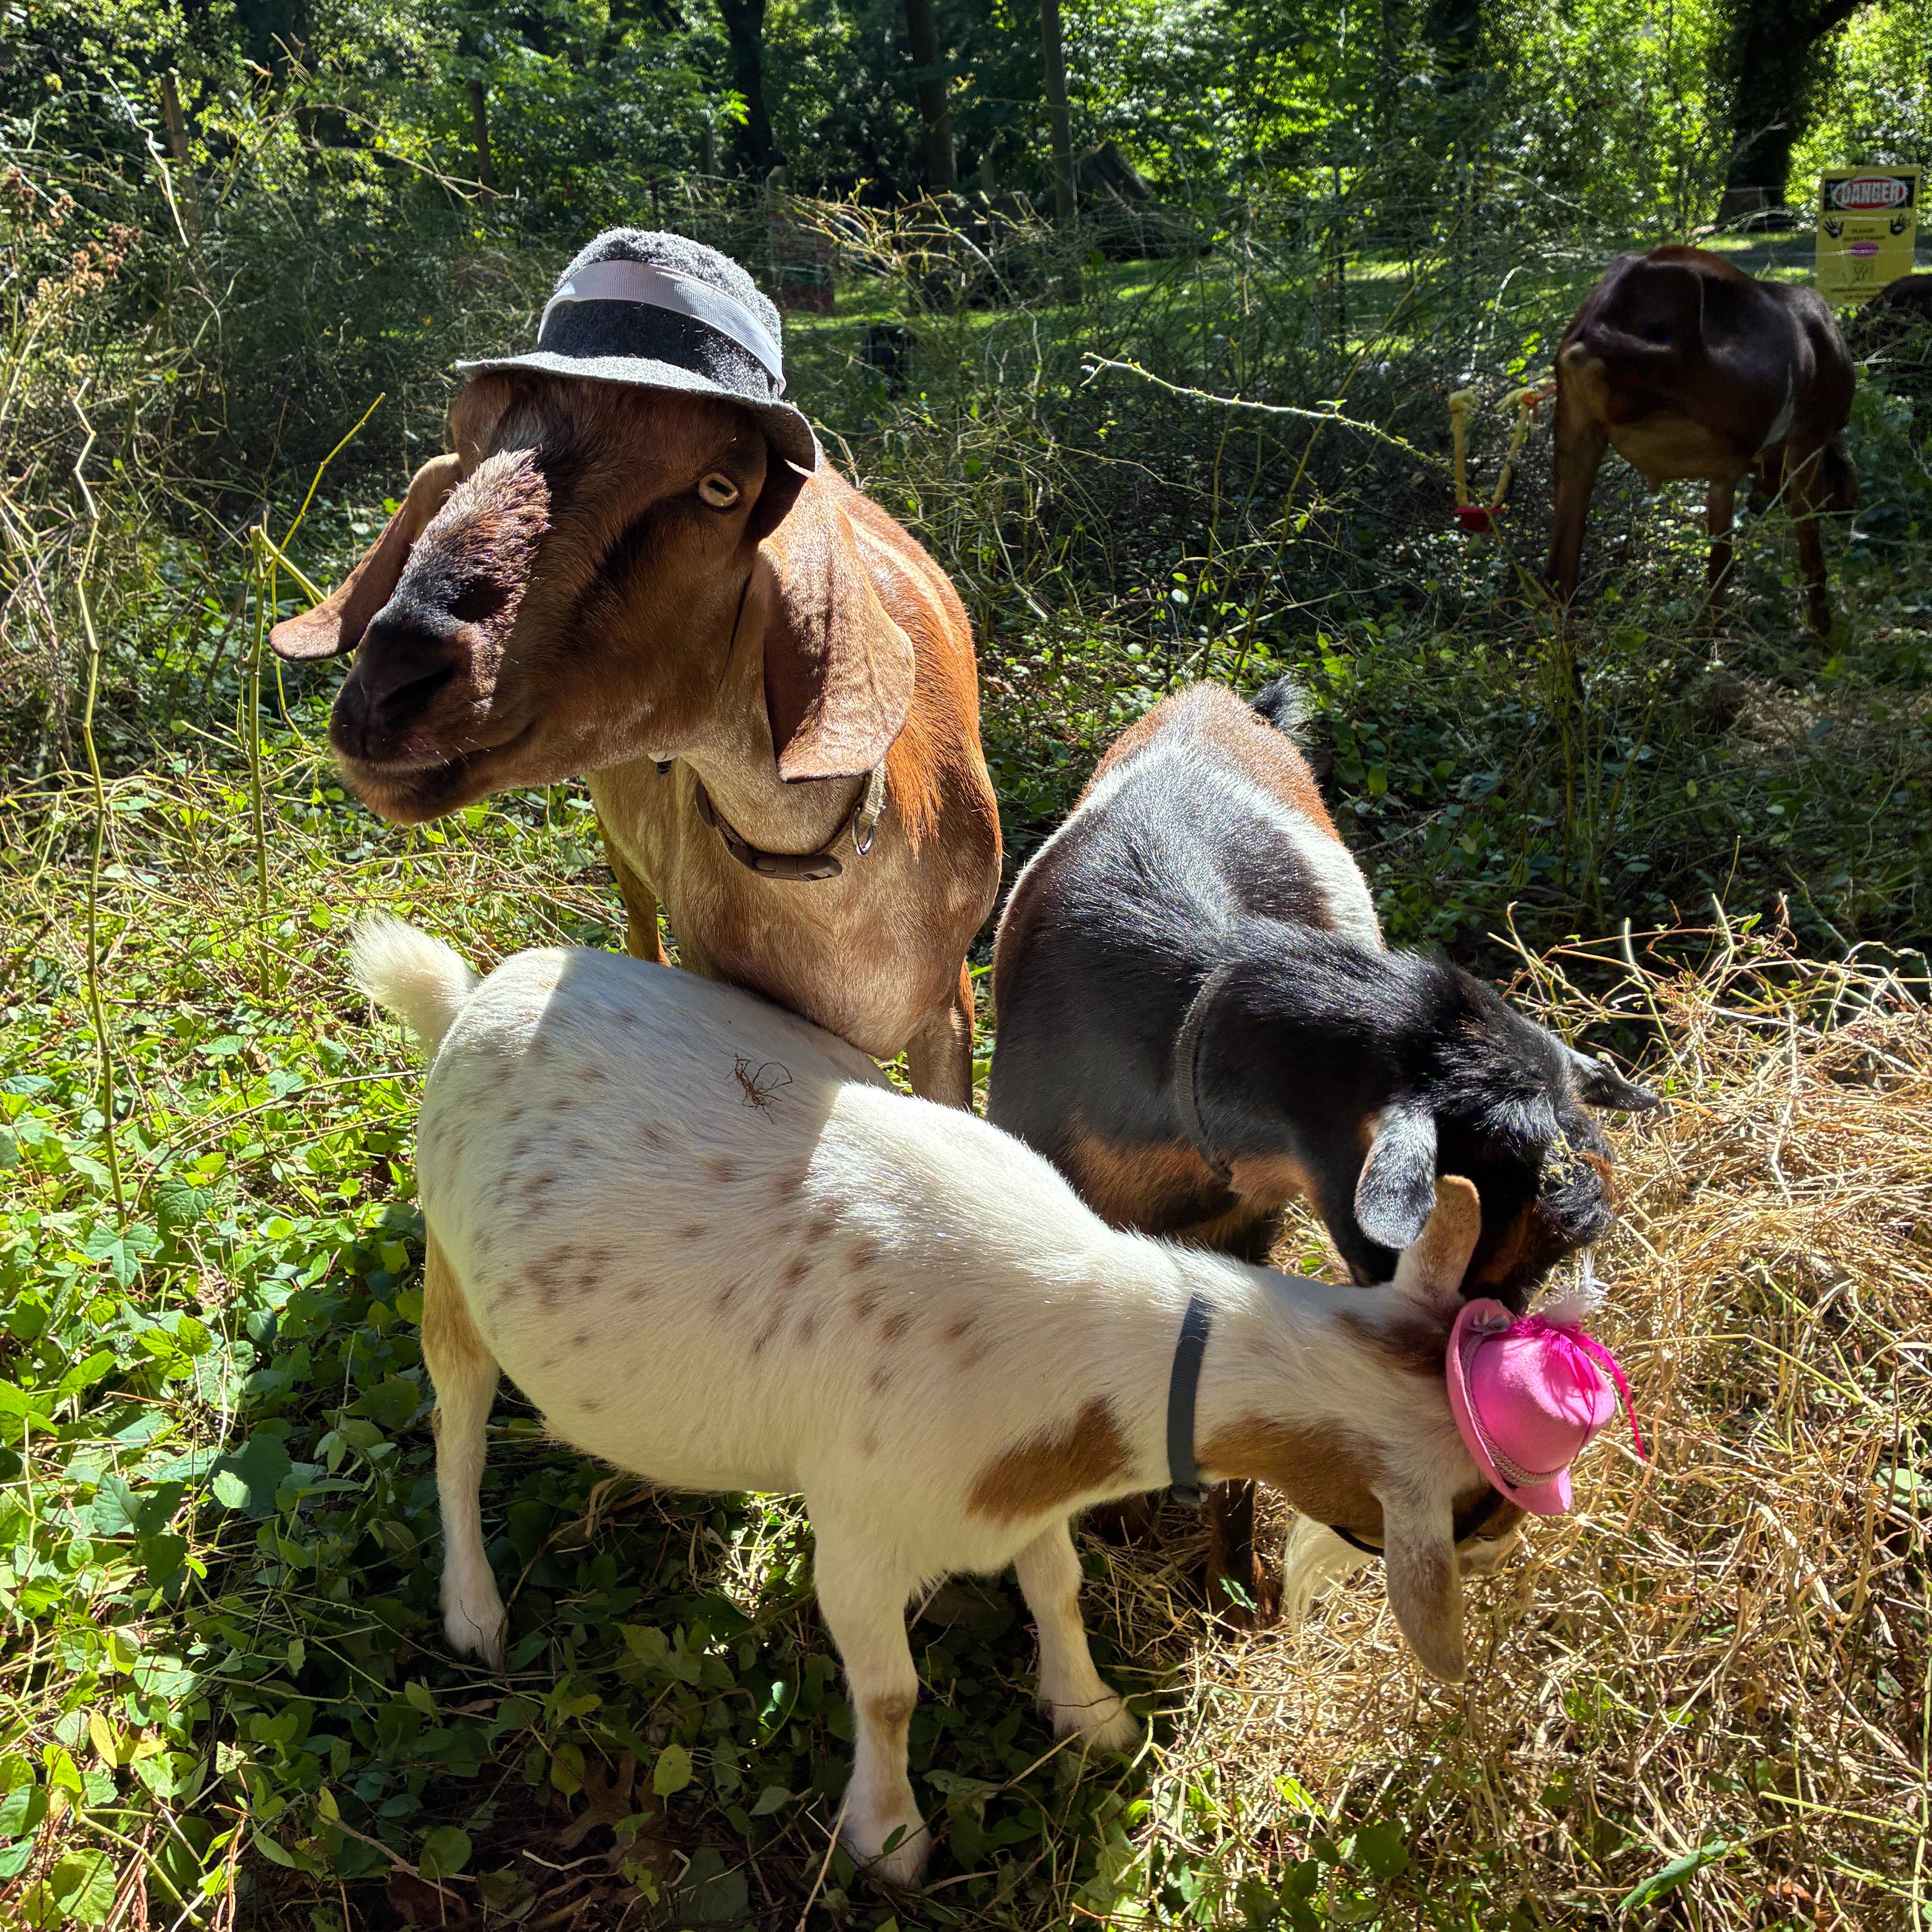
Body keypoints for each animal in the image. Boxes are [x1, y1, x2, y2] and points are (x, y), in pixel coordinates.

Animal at [356, 919, 1525, 1886]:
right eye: (1475, 1504)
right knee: (456, 1428)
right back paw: (475, 1609)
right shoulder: (860, 1534)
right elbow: (889, 1691)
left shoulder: (1026, 1490)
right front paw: (891, 1839)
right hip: (451, 1267)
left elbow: (1057, 1586)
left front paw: (1089, 1713)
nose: (1509, 1541)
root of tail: (470, 996)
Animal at [1547, 245, 1857, 634]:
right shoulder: (1808, 441)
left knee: (1561, 575)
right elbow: (1811, 551)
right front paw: (1824, 634)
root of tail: (1599, 323)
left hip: (1577, 432)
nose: (1849, 509)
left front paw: (1709, 633)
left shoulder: (1725, 474)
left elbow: (1720, 560)